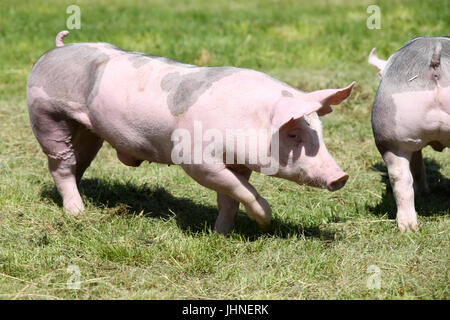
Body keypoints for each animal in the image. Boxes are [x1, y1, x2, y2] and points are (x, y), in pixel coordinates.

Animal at [27, 31, 356, 234]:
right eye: (293, 134)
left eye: (319, 130)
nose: (341, 176)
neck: (244, 117)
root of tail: (55, 50)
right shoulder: (195, 158)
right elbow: (239, 189)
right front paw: (264, 221)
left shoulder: (238, 162)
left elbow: (231, 197)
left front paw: (221, 234)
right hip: (46, 114)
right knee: (61, 164)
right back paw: (77, 213)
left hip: (89, 130)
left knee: (79, 162)